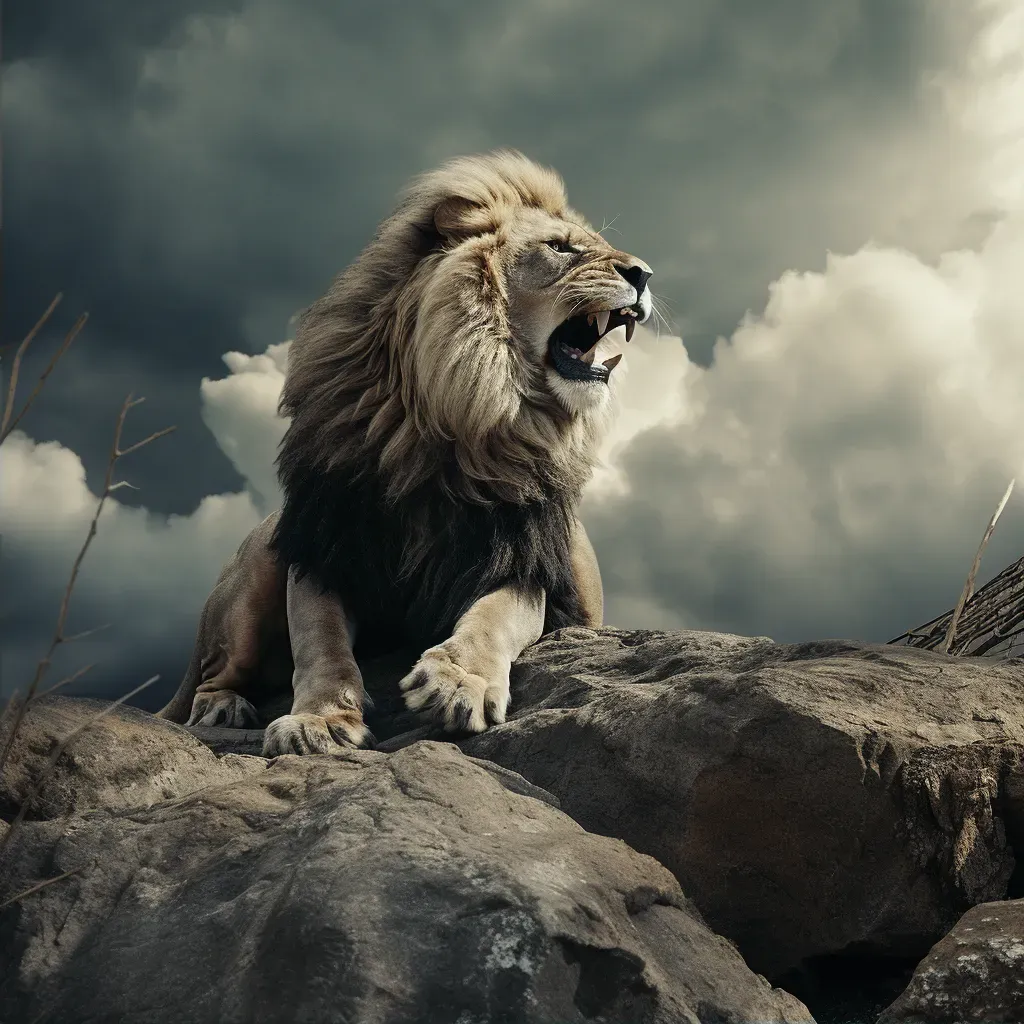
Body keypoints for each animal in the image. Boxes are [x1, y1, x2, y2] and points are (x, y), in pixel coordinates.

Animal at [159, 153, 655, 761]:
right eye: (561, 247)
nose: (644, 275)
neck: (457, 409)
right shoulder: (325, 544)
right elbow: (319, 639)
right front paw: (322, 719)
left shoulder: (517, 560)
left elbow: (492, 618)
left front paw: (457, 683)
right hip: (258, 562)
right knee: (213, 673)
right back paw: (223, 707)